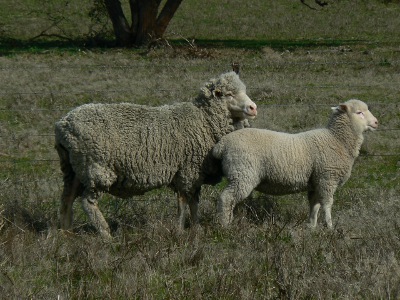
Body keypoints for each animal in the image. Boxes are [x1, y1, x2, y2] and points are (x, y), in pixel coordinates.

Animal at [54, 69, 258, 238]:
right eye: (229, 94)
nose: (253, 108)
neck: (203, 120)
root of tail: (63, 125)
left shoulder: (192, 174)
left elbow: (193, 203)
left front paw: (196, 228)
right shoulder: (187, 171)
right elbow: (185, 203)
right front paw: (181, 230)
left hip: (73, 168)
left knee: (67, 199)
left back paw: (66, 234)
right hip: (96, 167)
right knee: (87, 202)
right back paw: (105, 235)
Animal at [212, 98, 378, 227]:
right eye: (359, 113)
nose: (376, 122)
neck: (337, 139)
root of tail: (222, 145)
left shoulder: (316, 182)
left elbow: (315, 205)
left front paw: (312, 227)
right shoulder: (327, 179)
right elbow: (327, 205)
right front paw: (330, 227)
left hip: (240, 174)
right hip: (243, 174)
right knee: (226, 198)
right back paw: (224, 225)